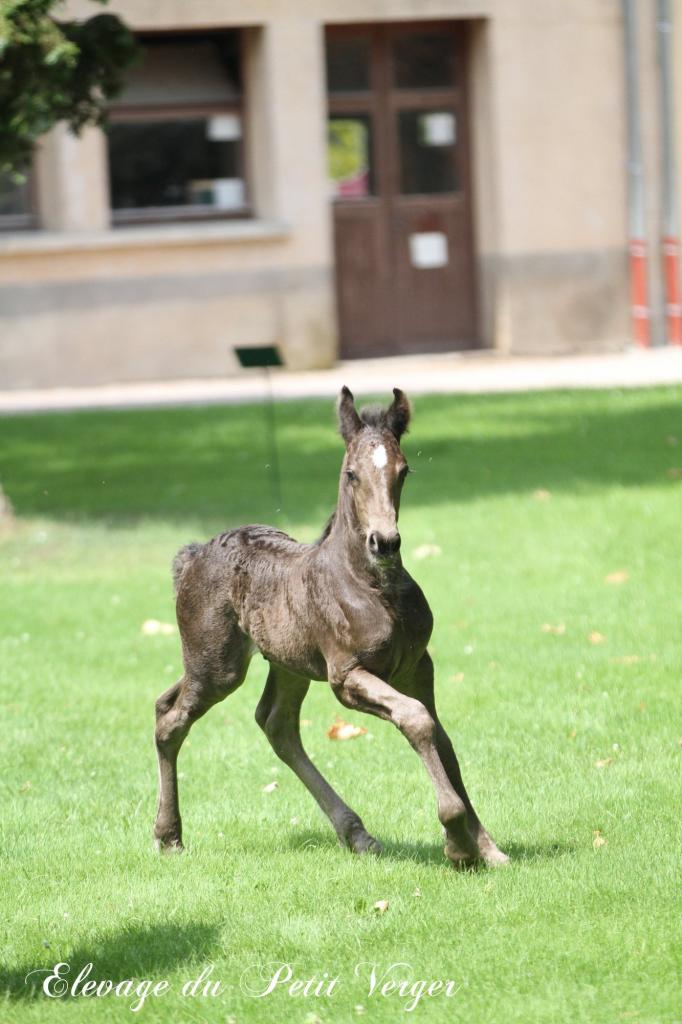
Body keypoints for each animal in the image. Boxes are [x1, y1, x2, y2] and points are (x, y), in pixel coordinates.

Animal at [152, 387, 503, 868]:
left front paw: (487, 847)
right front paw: (457, 843)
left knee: (271, 723)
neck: (373, 586)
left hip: (284, 665)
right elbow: (417, 721)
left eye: (403, 470)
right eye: (351, 473)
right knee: (171, 720)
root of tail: (193, 555)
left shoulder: (418, 667)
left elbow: (442, 739)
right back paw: (168, 836)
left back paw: (357, 835)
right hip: (217, 666)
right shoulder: (346, 676)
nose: (385, 542)